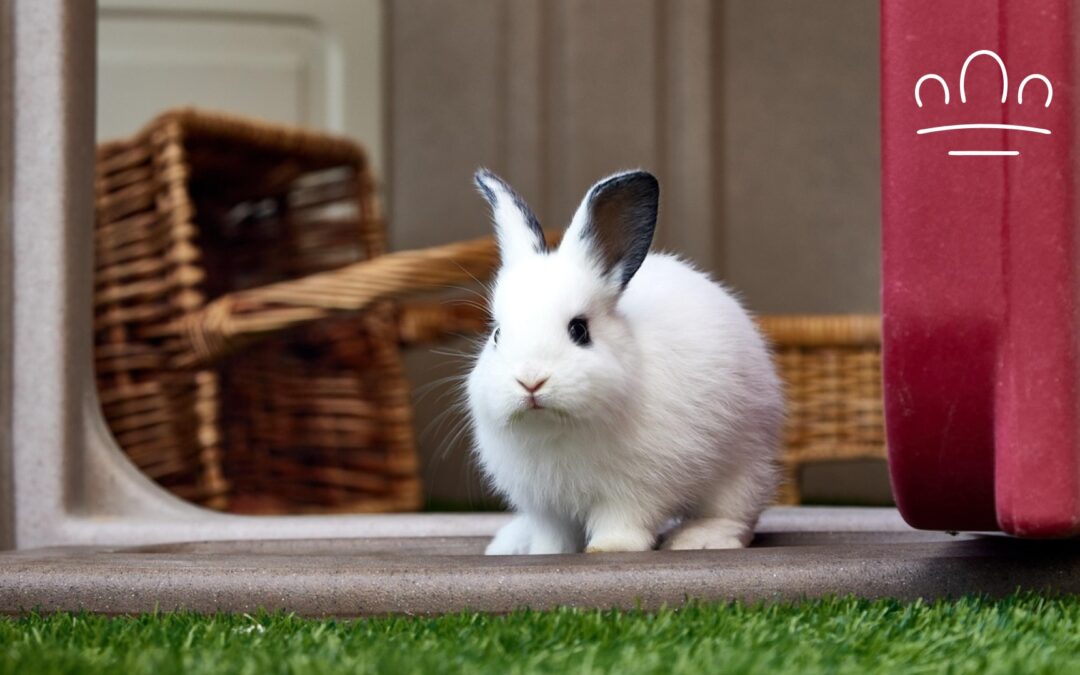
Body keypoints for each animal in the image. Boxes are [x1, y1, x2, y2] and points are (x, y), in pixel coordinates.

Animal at [467, 168, 783, 555]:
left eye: (580, 330)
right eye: (497, 334)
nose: (530, 380)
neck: (555, 428)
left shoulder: (635, 490)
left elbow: (622, 521)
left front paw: (611, 548)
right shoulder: (546, 506)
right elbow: (553, 535)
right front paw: (546, 552)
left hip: (743, 467)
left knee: (736, 516)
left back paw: (700, 539)